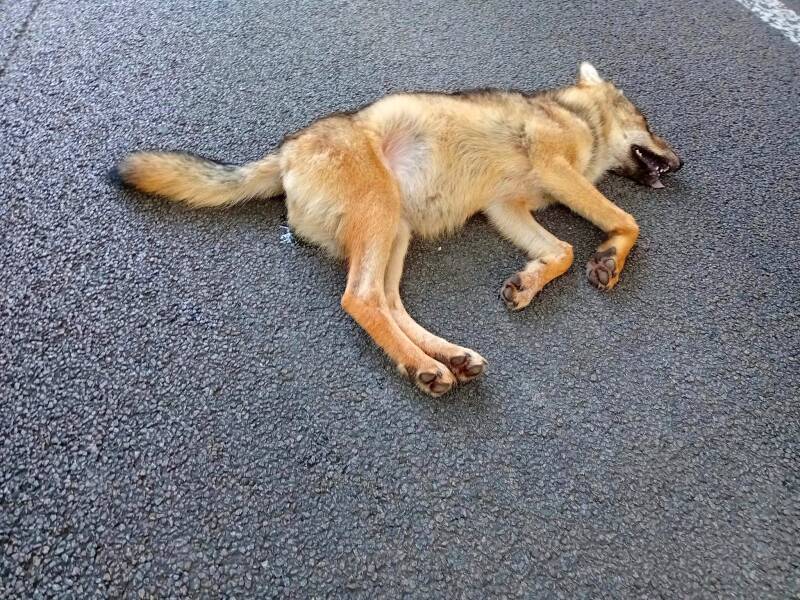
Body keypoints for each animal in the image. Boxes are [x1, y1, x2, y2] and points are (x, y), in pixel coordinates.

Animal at [114, 62, 682, 397]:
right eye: (648, 122)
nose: (679, 165)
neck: (572, 114)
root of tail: (286, 151)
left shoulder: (507, 207)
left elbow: (561, 250)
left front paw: (531, 280)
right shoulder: (555, 172)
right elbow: (626, 220)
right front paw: (610, 258)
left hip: (397, 235)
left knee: (388, 304)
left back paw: (442, 358)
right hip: (383, 217)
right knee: (361, 299)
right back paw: (424, 365)